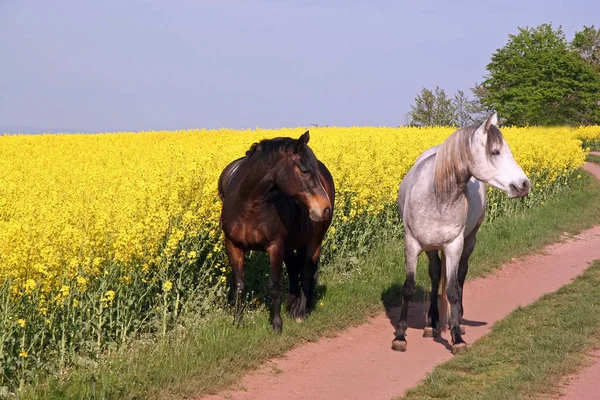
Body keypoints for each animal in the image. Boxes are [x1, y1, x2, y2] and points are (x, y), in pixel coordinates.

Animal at [218, 131, 336, 332]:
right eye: (305, 171)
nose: (324, 209)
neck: (249, 205)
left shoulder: (275, 247)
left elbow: (274, 286)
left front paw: (277, 323)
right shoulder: (233, 245)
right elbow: (239, 285)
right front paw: (238, 322)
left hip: (315, 240)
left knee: (306, 271)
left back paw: (300, 312)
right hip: (291, 245)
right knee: (294, 269)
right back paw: (291, 306)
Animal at [394, 112, 528, 354]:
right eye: (495, 152)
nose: (524, 184)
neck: (438, 196)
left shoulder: (454, 246)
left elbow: (453, 290)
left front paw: (457, 338)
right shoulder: (412, 244)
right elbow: (408, 287)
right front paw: (400, 336)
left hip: (469, 240)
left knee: (461, 276)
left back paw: (458, 321)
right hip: (431, 247)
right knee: (436, 274)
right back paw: (432, 324)